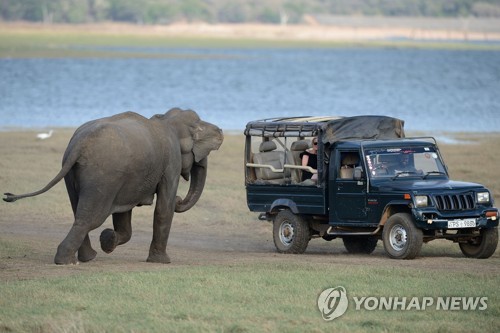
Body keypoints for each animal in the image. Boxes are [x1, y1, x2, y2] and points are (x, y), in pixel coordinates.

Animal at [3, 109, 223, 264]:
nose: (180, 200)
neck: (166, 119)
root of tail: (79, 144)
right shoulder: (171, 162)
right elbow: (164, 207)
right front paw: (162, 262)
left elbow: (123, 213)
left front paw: (108, 240)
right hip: (103, 178)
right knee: (90, 218)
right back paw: (67, 261)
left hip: (77, 173)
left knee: (80, 213)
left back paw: (87, 257)